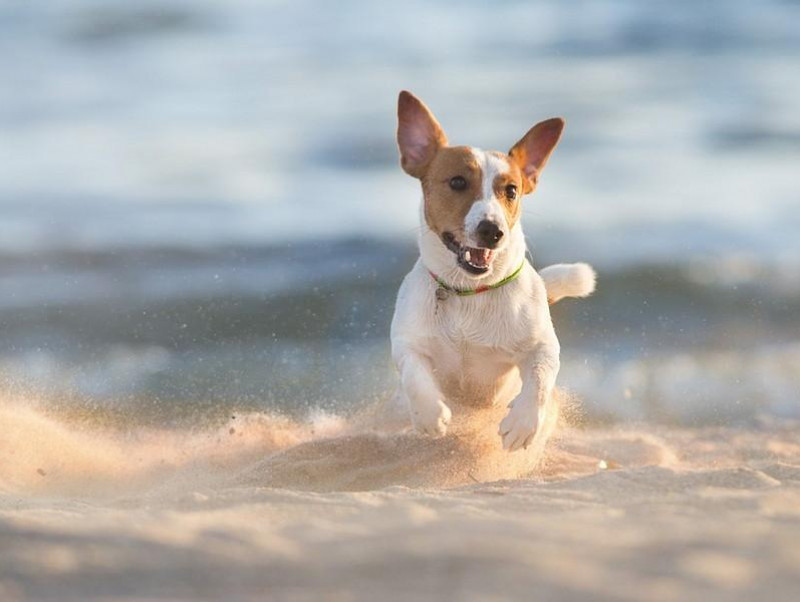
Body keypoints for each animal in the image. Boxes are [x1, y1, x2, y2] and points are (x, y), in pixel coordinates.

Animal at [390, 90, 596, 450]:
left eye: (511, 190)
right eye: (457, 182)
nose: (493, 231)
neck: (469, 292)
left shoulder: (543, 346)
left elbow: (540, 377)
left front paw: (523, 424)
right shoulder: (405, 340)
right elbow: (413, 371)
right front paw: (429, 414)